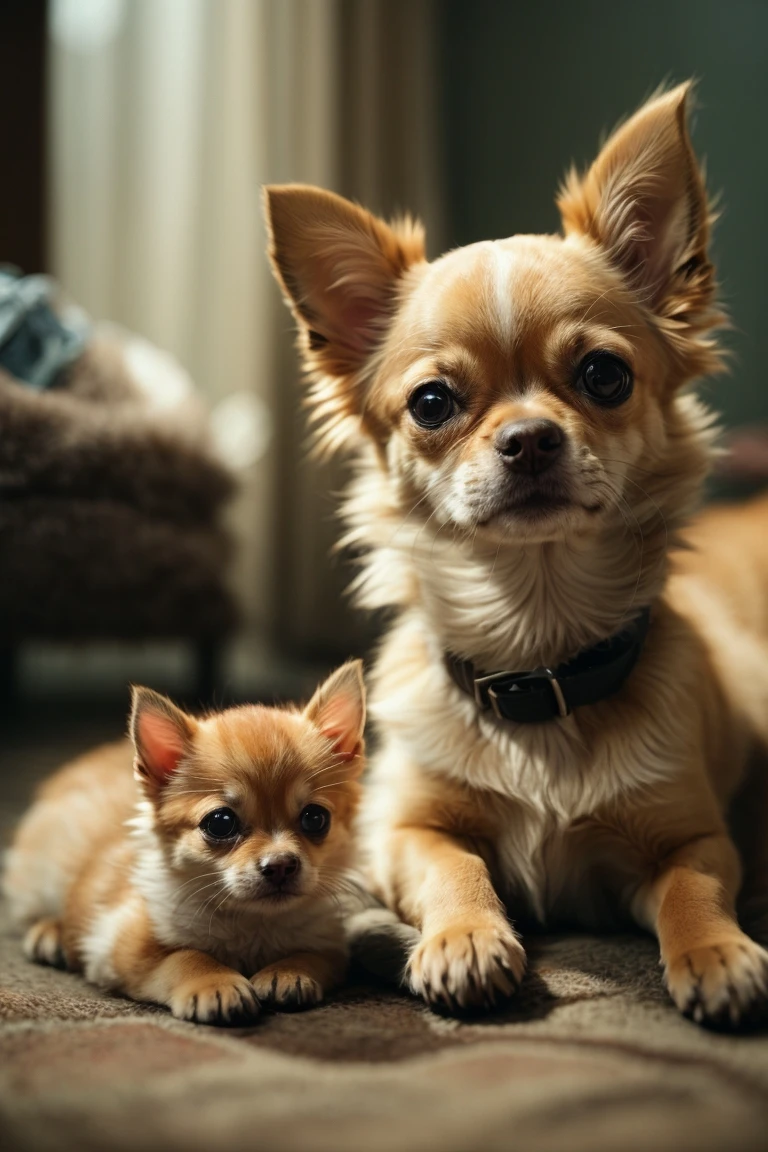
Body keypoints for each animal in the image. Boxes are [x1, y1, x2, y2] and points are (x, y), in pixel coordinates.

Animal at [5, 668, 366, 1027]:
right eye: (220, 822)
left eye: (315, 818)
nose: (281, 865)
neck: (251, 922)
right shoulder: (121, 944)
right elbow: (185, 956)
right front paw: (216, 983)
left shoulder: (331, 944)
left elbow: (317, 955)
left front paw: (290, 971)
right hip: (46, 875)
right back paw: (50, 933)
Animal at [264, 85, 768, 1032]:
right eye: (432, 402)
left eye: (605, 375)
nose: (529, 438)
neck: (540, 658)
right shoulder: (403, 828)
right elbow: (452, 864)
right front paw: (465, 937)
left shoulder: (694, 834)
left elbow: (694, 887)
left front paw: (718, 954)